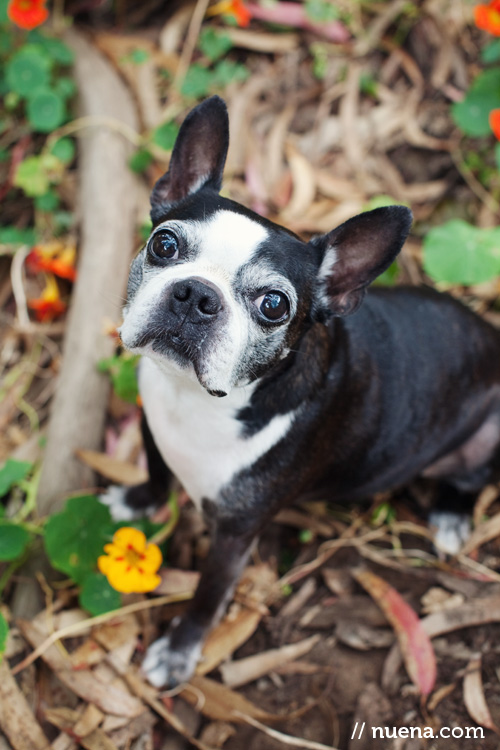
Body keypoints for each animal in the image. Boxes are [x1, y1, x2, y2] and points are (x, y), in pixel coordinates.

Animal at [110, 97, 500, 692]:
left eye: (274, 305)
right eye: (164, 244)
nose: (196, 295)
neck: (197, 401)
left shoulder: (234, 536)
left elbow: (207, 597)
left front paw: (178, 653)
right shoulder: (153, 426)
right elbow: (155, 474)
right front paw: (136, 502)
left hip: (489, 431)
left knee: (472, 475)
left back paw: (452, 516)